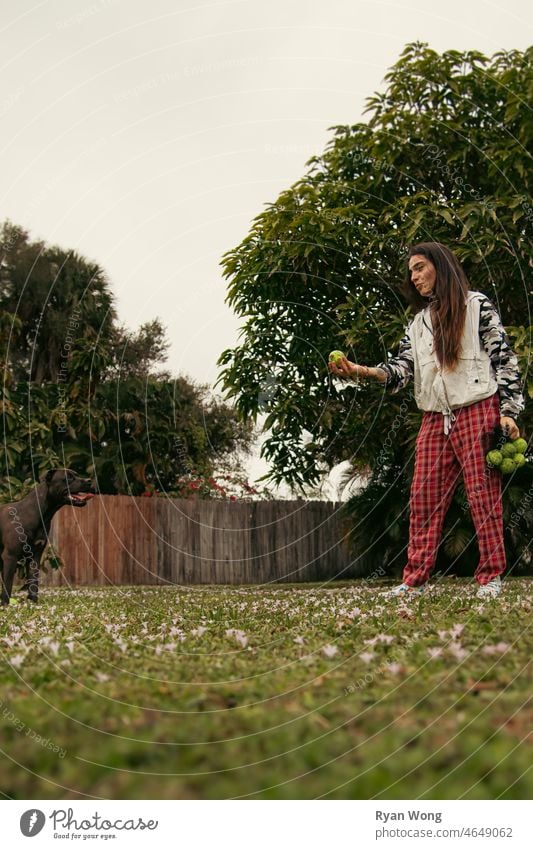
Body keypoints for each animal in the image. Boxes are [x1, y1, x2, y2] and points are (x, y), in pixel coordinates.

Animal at [0, 470, 94, 604]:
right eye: (68, 478)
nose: (89, 480)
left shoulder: (35, 556)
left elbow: (33, 583)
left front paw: (33, 603)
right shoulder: (10, 556)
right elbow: (7, 585)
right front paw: (5, 605)